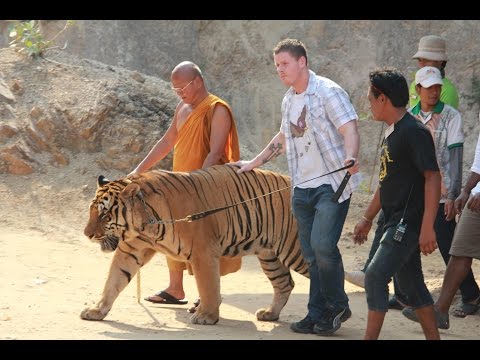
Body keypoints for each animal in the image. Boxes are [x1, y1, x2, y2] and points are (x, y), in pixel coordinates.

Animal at [81, 165, 310, 324]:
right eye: (92, 211)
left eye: (104, 214)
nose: (87, 234)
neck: (144, 225)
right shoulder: (131, 251)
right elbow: (113, 280)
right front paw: (97, 310)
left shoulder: (203, 253)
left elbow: (208, 286)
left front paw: (206, 316)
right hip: (269, 255)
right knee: (284, 283)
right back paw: (270, 313)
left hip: (295, 251)